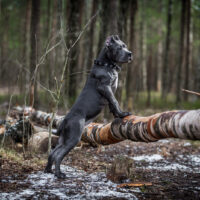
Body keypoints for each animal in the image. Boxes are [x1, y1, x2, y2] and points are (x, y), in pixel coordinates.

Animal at [44, 34, 134, 178]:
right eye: (119, 47)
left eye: (124, 46)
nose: (130, 54)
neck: (107, 64)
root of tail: (65, 121)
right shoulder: (105, 87)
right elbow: (115, 101)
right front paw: (123, 114)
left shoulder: (109, 91)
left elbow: (112, 104)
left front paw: (117, 115)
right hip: (73, 137)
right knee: (58, 155)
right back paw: (59, 174)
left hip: (64, 138)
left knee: (53, 152)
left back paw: (48, 170)